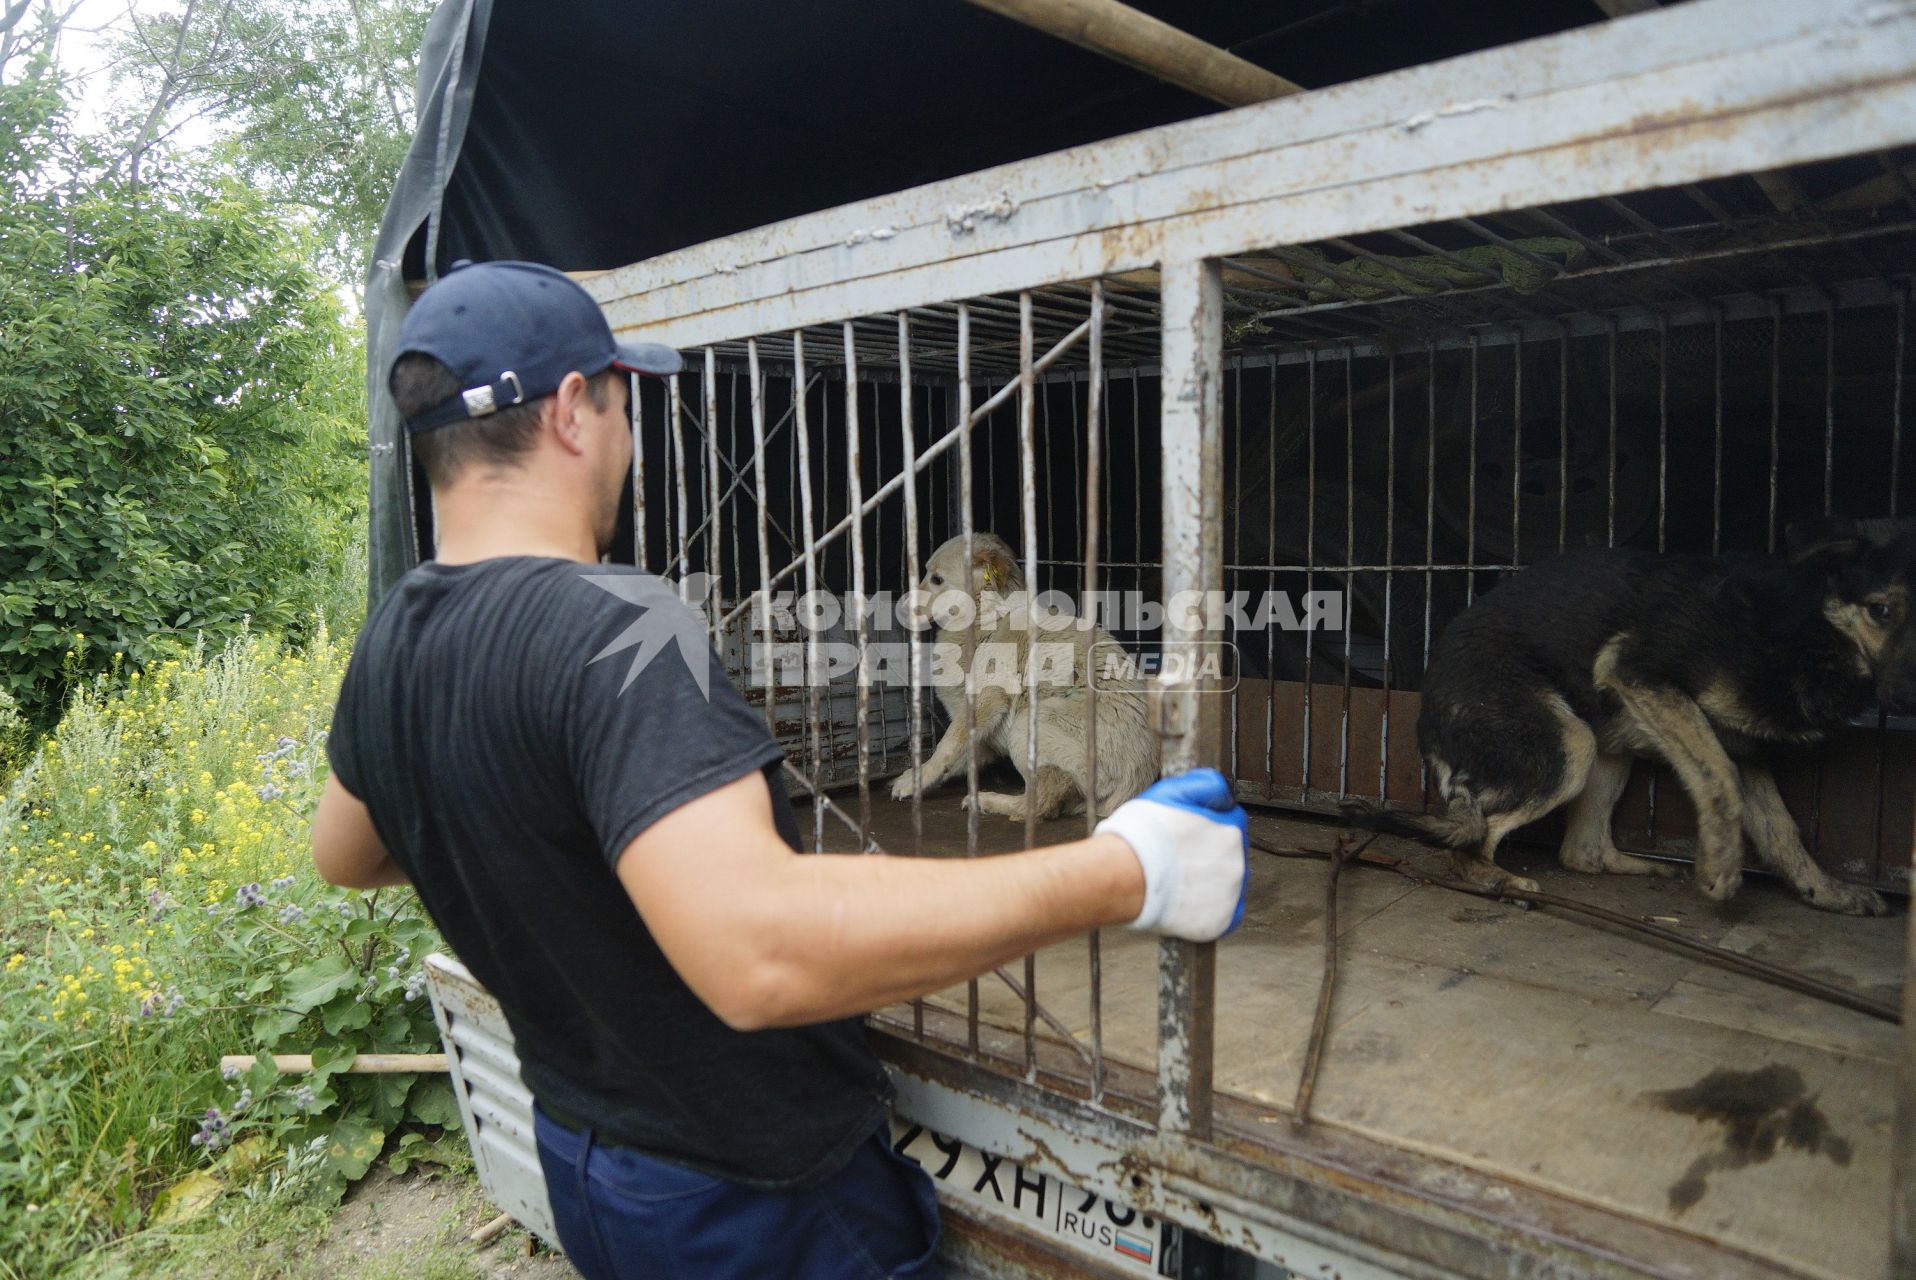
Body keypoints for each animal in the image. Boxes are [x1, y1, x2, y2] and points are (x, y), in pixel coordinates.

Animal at [889, 528, 1157, 820]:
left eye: (937, 579)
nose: (899, 608)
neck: (987, 621)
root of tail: (1139, 778)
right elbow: (959, 756)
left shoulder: (984, 701)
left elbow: (946, 747)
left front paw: (916, 780)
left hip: (1028, 722)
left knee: (1041, 801)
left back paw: (987, 801)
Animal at [1348, 513, 1916, 915]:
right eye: (1881, 610)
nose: (1906, 697)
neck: (1807, 628)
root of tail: (1426, 714)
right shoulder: (1638, 671)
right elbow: (1719, 779)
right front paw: (1720, 865)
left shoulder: (1745, 749)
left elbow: (1781, 830)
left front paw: (1826, 891)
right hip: (1569, 743)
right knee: (1471, 841)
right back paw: (1498, 879)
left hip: (1606, 748)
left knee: (1583, 852)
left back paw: (1639, 866)